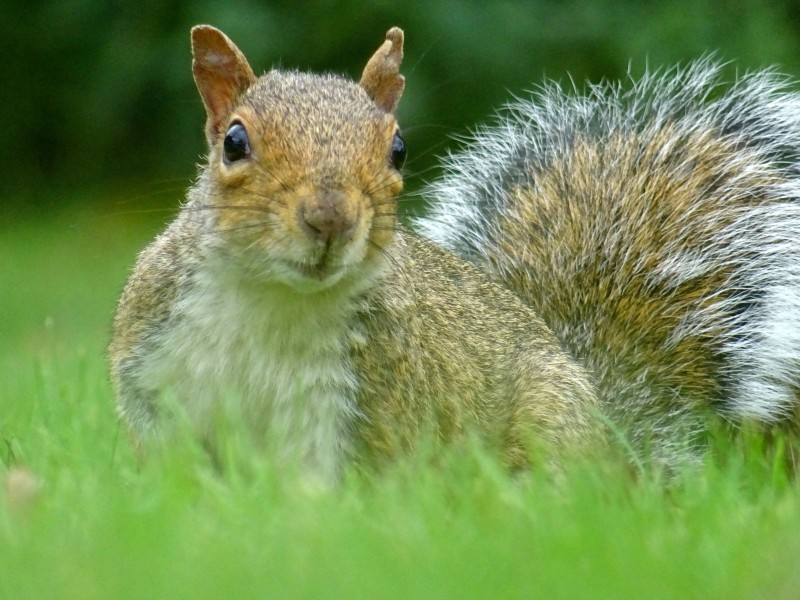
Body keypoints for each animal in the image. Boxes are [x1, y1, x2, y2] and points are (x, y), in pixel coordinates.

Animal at [108, 25, 600, 480]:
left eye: (398, 150)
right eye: (233, 143)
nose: (330, 218)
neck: (275, 296)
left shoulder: (352, 410)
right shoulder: (152, 375)